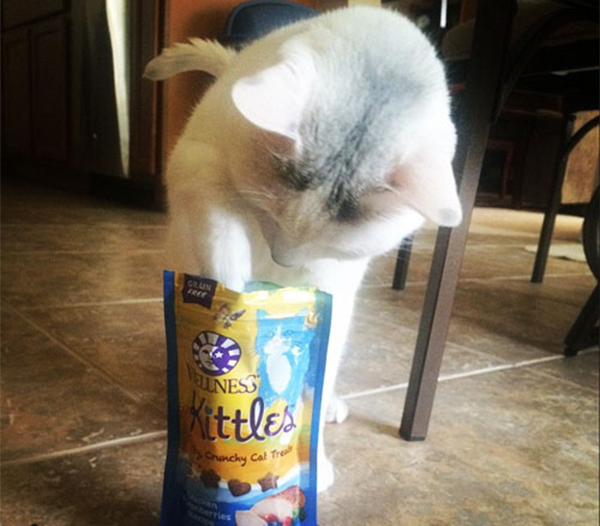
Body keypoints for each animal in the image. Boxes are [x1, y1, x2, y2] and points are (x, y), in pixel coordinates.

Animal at [145, 6, 461, 492]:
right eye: (267, 215)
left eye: (331, 245)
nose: (283, 261)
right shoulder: (199, 167)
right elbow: (223, 233)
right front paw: (232, 297)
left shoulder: (331, 282)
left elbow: (316, 368)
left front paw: (312, 458)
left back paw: (326, 405)